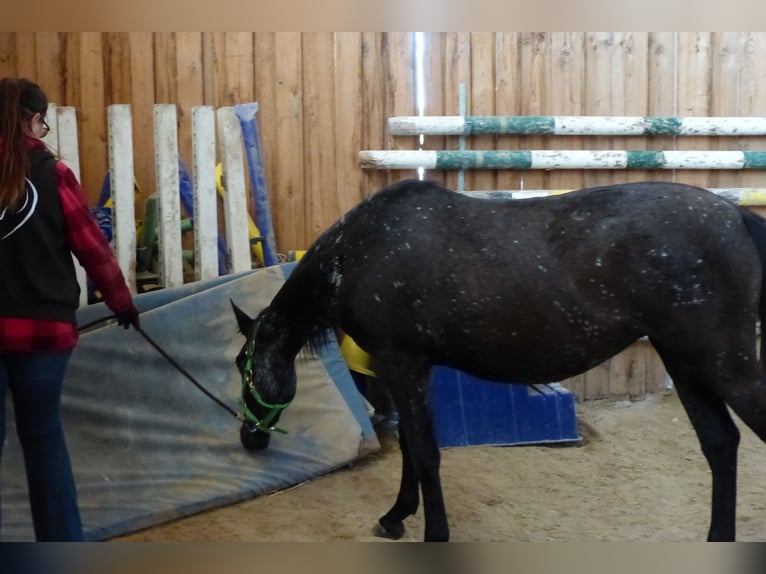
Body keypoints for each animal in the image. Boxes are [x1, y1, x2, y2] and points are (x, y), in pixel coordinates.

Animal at [231, 178, 766, 542]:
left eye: (242, 365)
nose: (249, 439)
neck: (358, 253)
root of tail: (735, 216)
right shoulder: (412, 370)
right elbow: (410, 446)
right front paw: (396, 515)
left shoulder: (402, 365)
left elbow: (424, 451)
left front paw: (433, 532)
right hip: (686, 363)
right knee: (720, 445)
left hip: (722, 365)